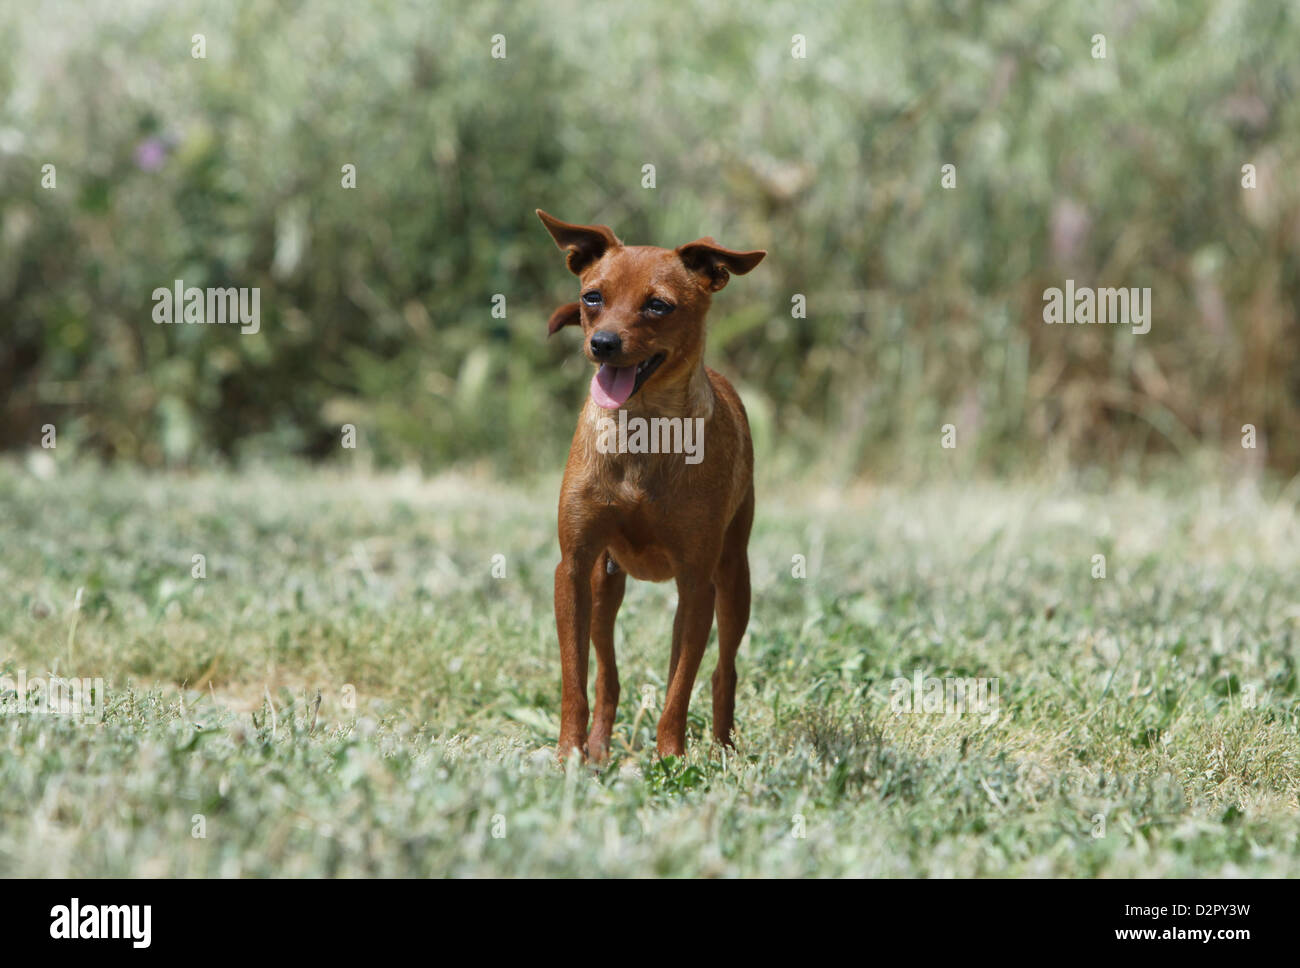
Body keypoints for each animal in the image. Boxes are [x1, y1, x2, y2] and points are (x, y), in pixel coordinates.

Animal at [535, 211, 764, 764]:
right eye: (592, 297)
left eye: (658, 305)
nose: (602, 344)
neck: (643, 431)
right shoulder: (572, 569)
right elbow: (574, 679)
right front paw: (568, 754)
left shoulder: (696, 583)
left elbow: (679, 688)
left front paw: (671, 759)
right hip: (604, 587)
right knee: (607, 677)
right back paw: (598, 750)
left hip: (732, 583)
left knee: (722, 671)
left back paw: (723, 748)